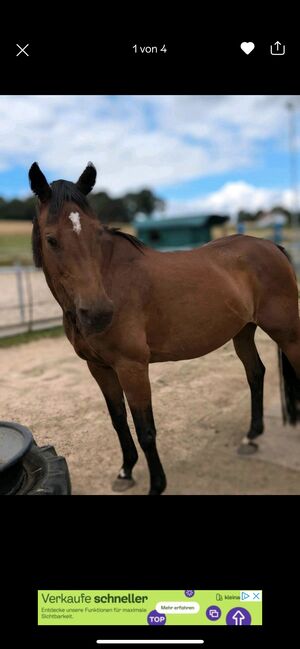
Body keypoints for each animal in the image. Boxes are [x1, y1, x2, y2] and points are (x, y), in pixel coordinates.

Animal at [28, 163, 300, 496]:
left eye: (96, 234)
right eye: (51, 239)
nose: (99, 312)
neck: (112, 279)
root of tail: (271, 246)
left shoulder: (132, 367)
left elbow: (145, 429)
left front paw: (156, 485)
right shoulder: (99, 368)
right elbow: (118, 421)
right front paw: (125, 471)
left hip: (287, 332)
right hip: (244, 331)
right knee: (256, 373)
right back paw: (251, 436)